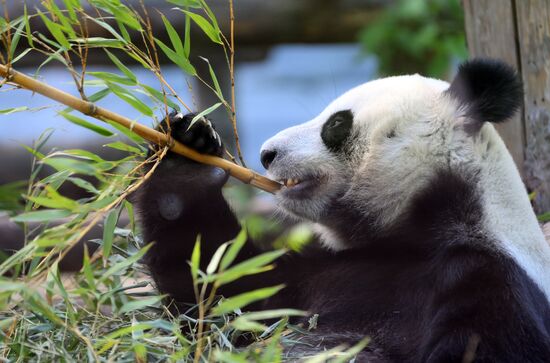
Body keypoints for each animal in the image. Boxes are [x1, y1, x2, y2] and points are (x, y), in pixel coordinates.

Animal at [139, 58, 550, 362]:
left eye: (336, 123)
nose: (267, 154)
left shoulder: (493, 283)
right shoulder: (322, 272)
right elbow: (220, 291)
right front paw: (184, 156)